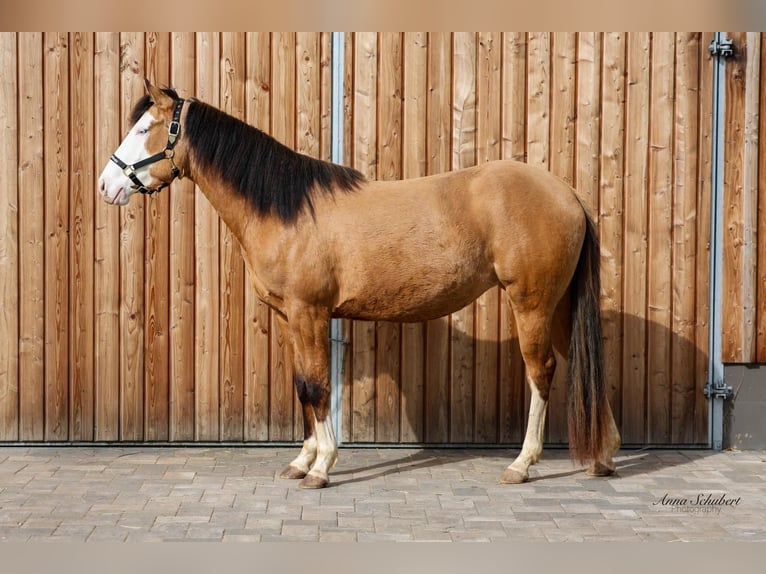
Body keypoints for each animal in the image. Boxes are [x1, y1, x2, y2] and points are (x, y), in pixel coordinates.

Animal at [98, 79, 621, 489]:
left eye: (143, 129)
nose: (107, 185)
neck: (286, 208)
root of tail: (568, 193)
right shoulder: (290, 317)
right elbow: (301, 385)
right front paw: (301, 461)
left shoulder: (309, 312)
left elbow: (316, 386)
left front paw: (321, 467)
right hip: (557, 306)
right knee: (577, 361)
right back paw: (603, 457)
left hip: (530, 304)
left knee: (542, 372)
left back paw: (522, 464)